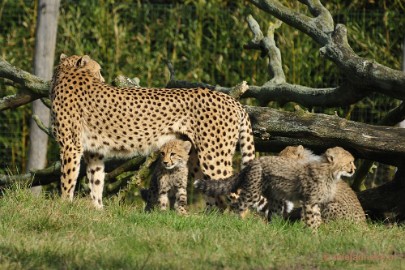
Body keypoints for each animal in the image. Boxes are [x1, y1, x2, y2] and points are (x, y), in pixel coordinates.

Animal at [49, 53, 252, 209]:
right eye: (98, 70)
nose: (104, 79)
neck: (67, 73)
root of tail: (231, 99)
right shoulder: (94, 152)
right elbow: (96, 181)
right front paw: (98, 210)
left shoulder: (70, 146)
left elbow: (68, 179)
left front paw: (63, 206)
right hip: (196, 158)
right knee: (217, 198)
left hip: (213, 156)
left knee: (236, 192)